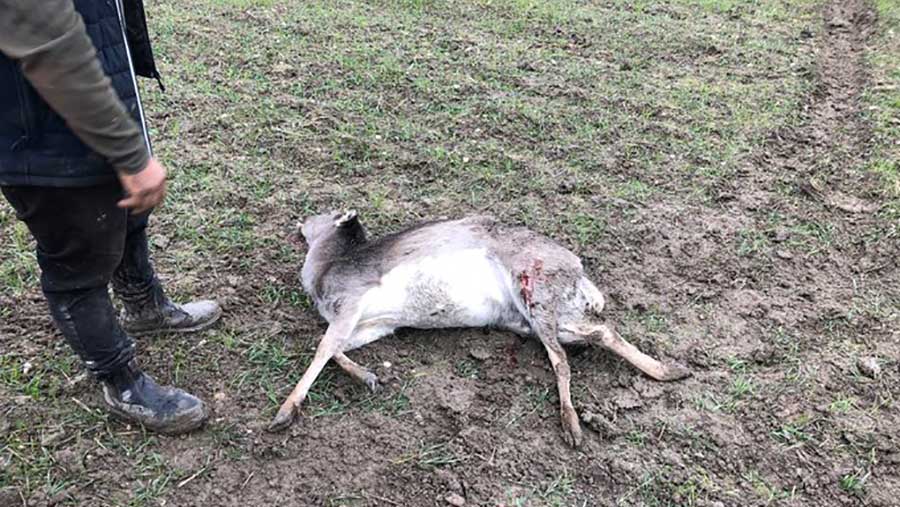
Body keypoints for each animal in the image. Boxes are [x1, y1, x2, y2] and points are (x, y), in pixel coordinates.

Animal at [268, 212, 688, 446]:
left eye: (325, 214)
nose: (300, 220)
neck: (322, 276)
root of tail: (580, 273)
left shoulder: (351, 306)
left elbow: (322, 349)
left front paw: (284, 413)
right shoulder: (378, 324)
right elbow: (338, 349)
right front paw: (370, 377)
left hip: (534, 296)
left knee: (563, 360)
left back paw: (572, 426)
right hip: (539, 319)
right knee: (602, 331)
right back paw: (670, 370)